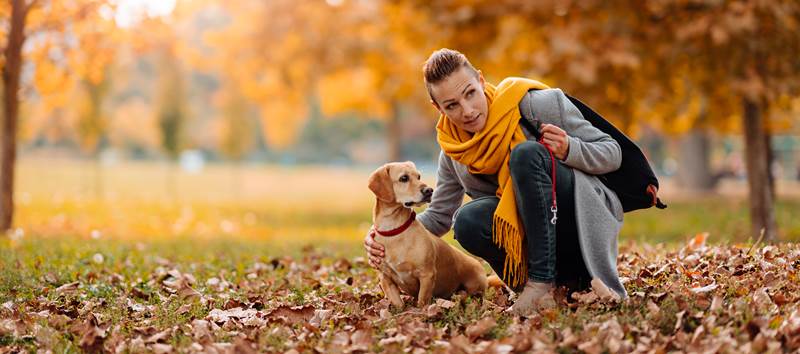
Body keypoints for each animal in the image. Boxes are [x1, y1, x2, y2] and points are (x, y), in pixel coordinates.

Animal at [370, 161, 494, 306]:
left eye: (418, 176)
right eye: (404, 178)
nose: (429, 190)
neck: (394, 230)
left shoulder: (427, 275)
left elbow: (422, 301)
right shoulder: (386, 279)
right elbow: (398, 303)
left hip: (475, 283)